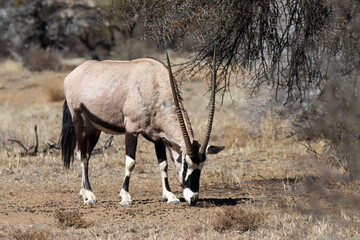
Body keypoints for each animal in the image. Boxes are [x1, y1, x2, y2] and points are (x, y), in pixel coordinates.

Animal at [60, 51, 224, 205]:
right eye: (185, 163)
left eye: (202, 165)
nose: (193, 198)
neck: (155, 84)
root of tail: (71, 75)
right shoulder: (131, 130)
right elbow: (130, 162)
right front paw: (125, 196)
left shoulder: (158, 137)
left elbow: (163, 164)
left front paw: (170, 195)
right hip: (79, 121)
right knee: (82, 156)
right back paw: (90, 195)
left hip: (94, 129)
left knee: (85, 154)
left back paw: (83, 193)